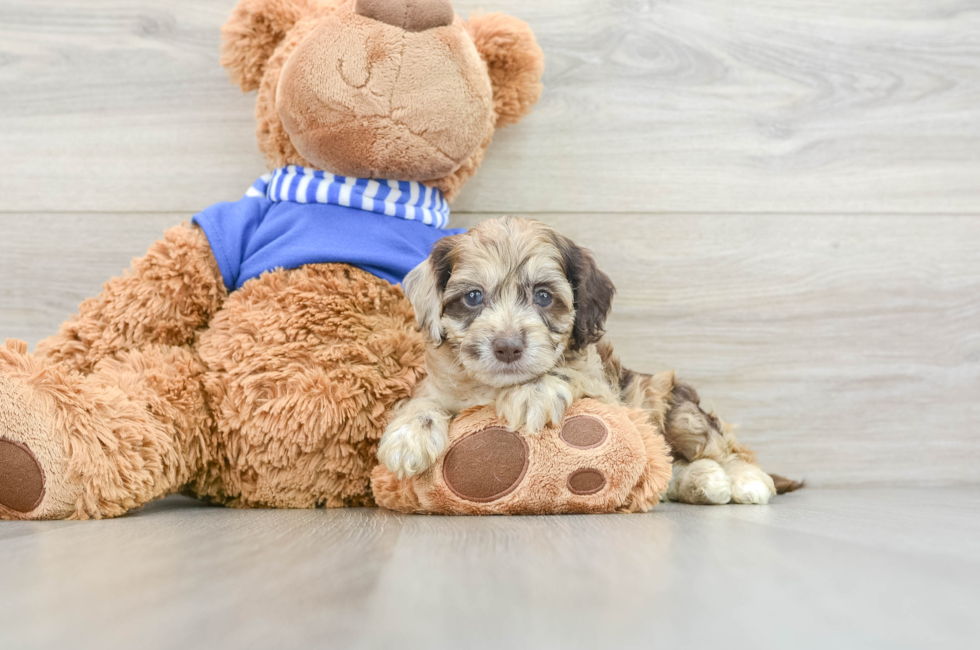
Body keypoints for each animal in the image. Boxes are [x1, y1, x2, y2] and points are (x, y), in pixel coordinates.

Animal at [378, 215, 800, 504]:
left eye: (544, 296)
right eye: (473, 297)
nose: (508, 347)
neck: (494, 386)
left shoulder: (608, 395)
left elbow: (568, 374)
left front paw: (534, 392)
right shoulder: (441, 386)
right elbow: (424, 402)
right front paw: (408, 436)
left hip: (679, 409)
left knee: (725, 449)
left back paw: (743, 480)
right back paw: (701, 482)